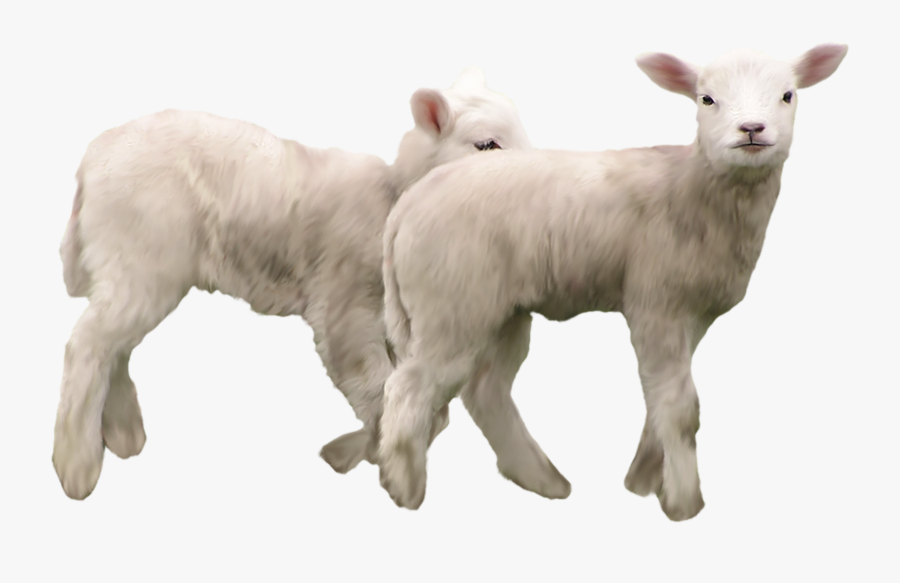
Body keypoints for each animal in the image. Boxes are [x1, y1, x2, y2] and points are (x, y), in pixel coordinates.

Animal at [53, 67, 535, 500]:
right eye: (486, 145)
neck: (394, 199)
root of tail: (91, 161)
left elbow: (411, 402)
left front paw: (365, 454)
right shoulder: (344, 309)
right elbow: (374, 386)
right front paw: (372, 460)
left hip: (133, 268)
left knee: (112, 345)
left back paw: (122, 434)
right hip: (143, 257)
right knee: (88, 344)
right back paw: (77, 467)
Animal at [376, 44, 848, 520]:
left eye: (788, 95)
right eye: (706, 99)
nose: (752, 128)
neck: (695, 188)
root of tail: (406, 207)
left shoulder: (691, 313)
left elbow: (661, 399)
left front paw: (643, 481)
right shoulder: (656, 302)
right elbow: (680, 407)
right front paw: (684, 502)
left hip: (501, 310)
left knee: (486, 389)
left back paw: (542, 480)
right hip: (452, 304)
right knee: (408, 388)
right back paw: (405, 489)